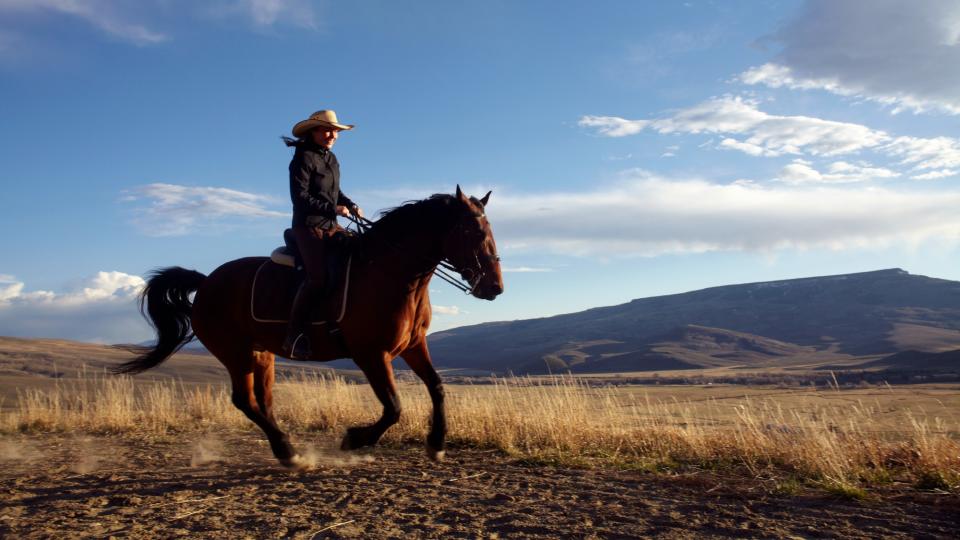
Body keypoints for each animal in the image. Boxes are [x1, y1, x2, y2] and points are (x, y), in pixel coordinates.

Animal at [116, 188, 506, 466]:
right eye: (473, 230)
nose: (495, 287)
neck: (389, 274)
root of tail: (207, 281)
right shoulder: (370, 354)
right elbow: (393, 407)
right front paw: (354, 440)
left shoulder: (412, 345)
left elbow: (437, 387)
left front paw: (437, 444)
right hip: (235, 353)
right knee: (244, 400)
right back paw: (290, 454)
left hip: (262, 355)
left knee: (263, 402)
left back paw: (286, 449)